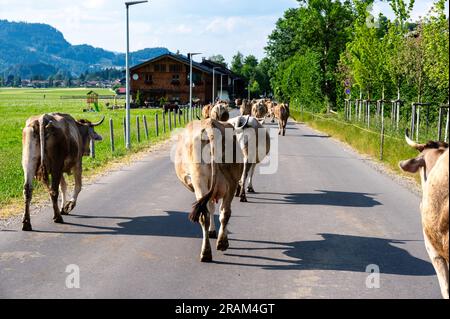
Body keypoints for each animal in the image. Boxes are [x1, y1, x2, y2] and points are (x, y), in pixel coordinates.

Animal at [174, 119, 244, 262]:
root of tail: (209, 125)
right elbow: (212, 208)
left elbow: (210, 208)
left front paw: (211, 231)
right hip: (232, 182)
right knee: (225, 212)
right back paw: (222, 243)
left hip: (199, 180)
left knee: (204, 215)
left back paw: (205, 252)